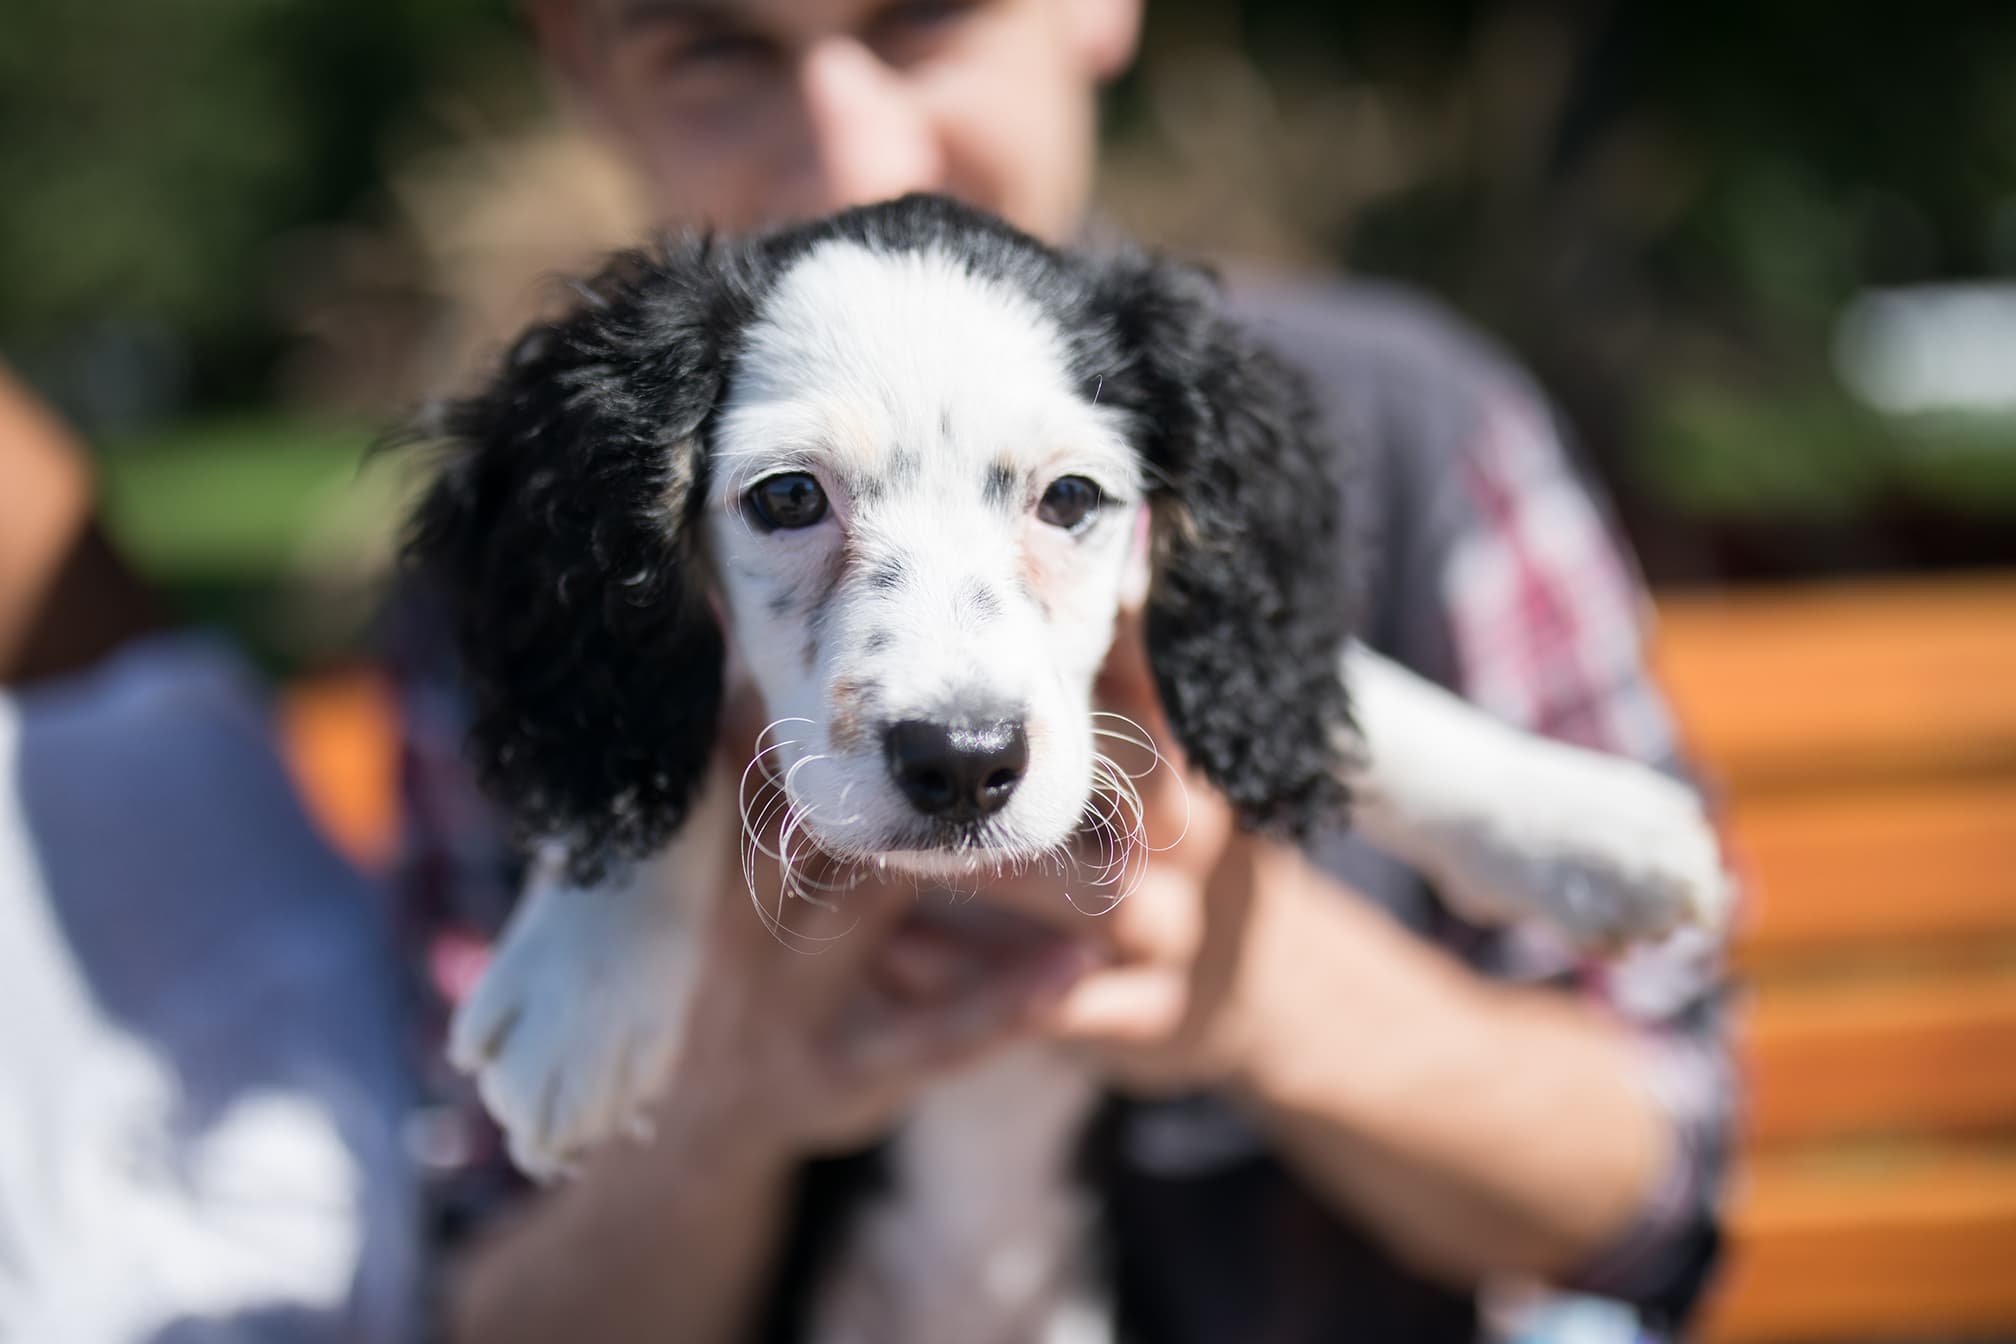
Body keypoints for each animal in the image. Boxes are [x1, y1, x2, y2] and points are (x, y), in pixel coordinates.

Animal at [401, 194, 1725, 1337]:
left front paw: (1582, 830)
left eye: (1073, 498)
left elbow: (1366, 690)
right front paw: (578, 983)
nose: (963, 765)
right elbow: (648, 735)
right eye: (785, 499)